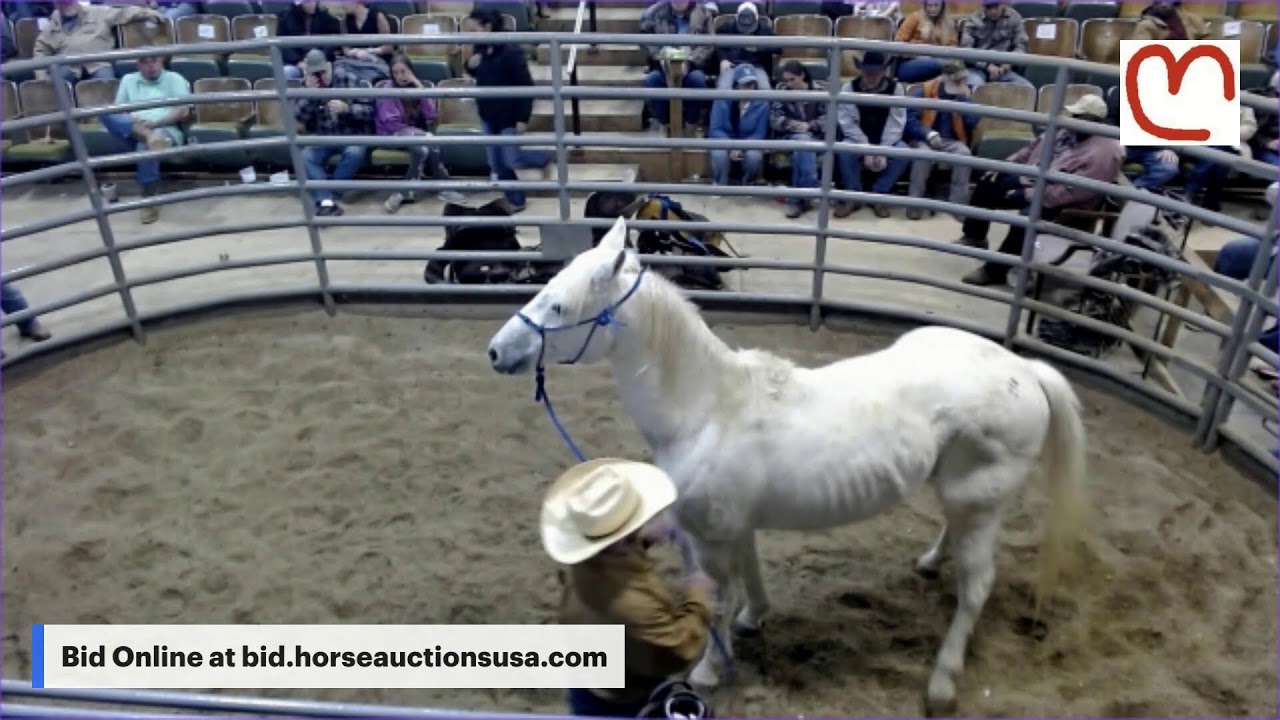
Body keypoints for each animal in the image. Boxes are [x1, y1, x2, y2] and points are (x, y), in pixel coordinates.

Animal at [486, 216, 1091, 715]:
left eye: (559, 306)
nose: (497, 351)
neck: (707, 409)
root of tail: (1025, 370)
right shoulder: (736, 526)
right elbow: (749, 574)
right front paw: (756, 617)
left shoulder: (709, 536)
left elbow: (715, 600)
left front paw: (708, 671)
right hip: (959, 492)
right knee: (953, 534)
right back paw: (929, 562)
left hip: (979, 500)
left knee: (976, 586)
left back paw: (942, 684)